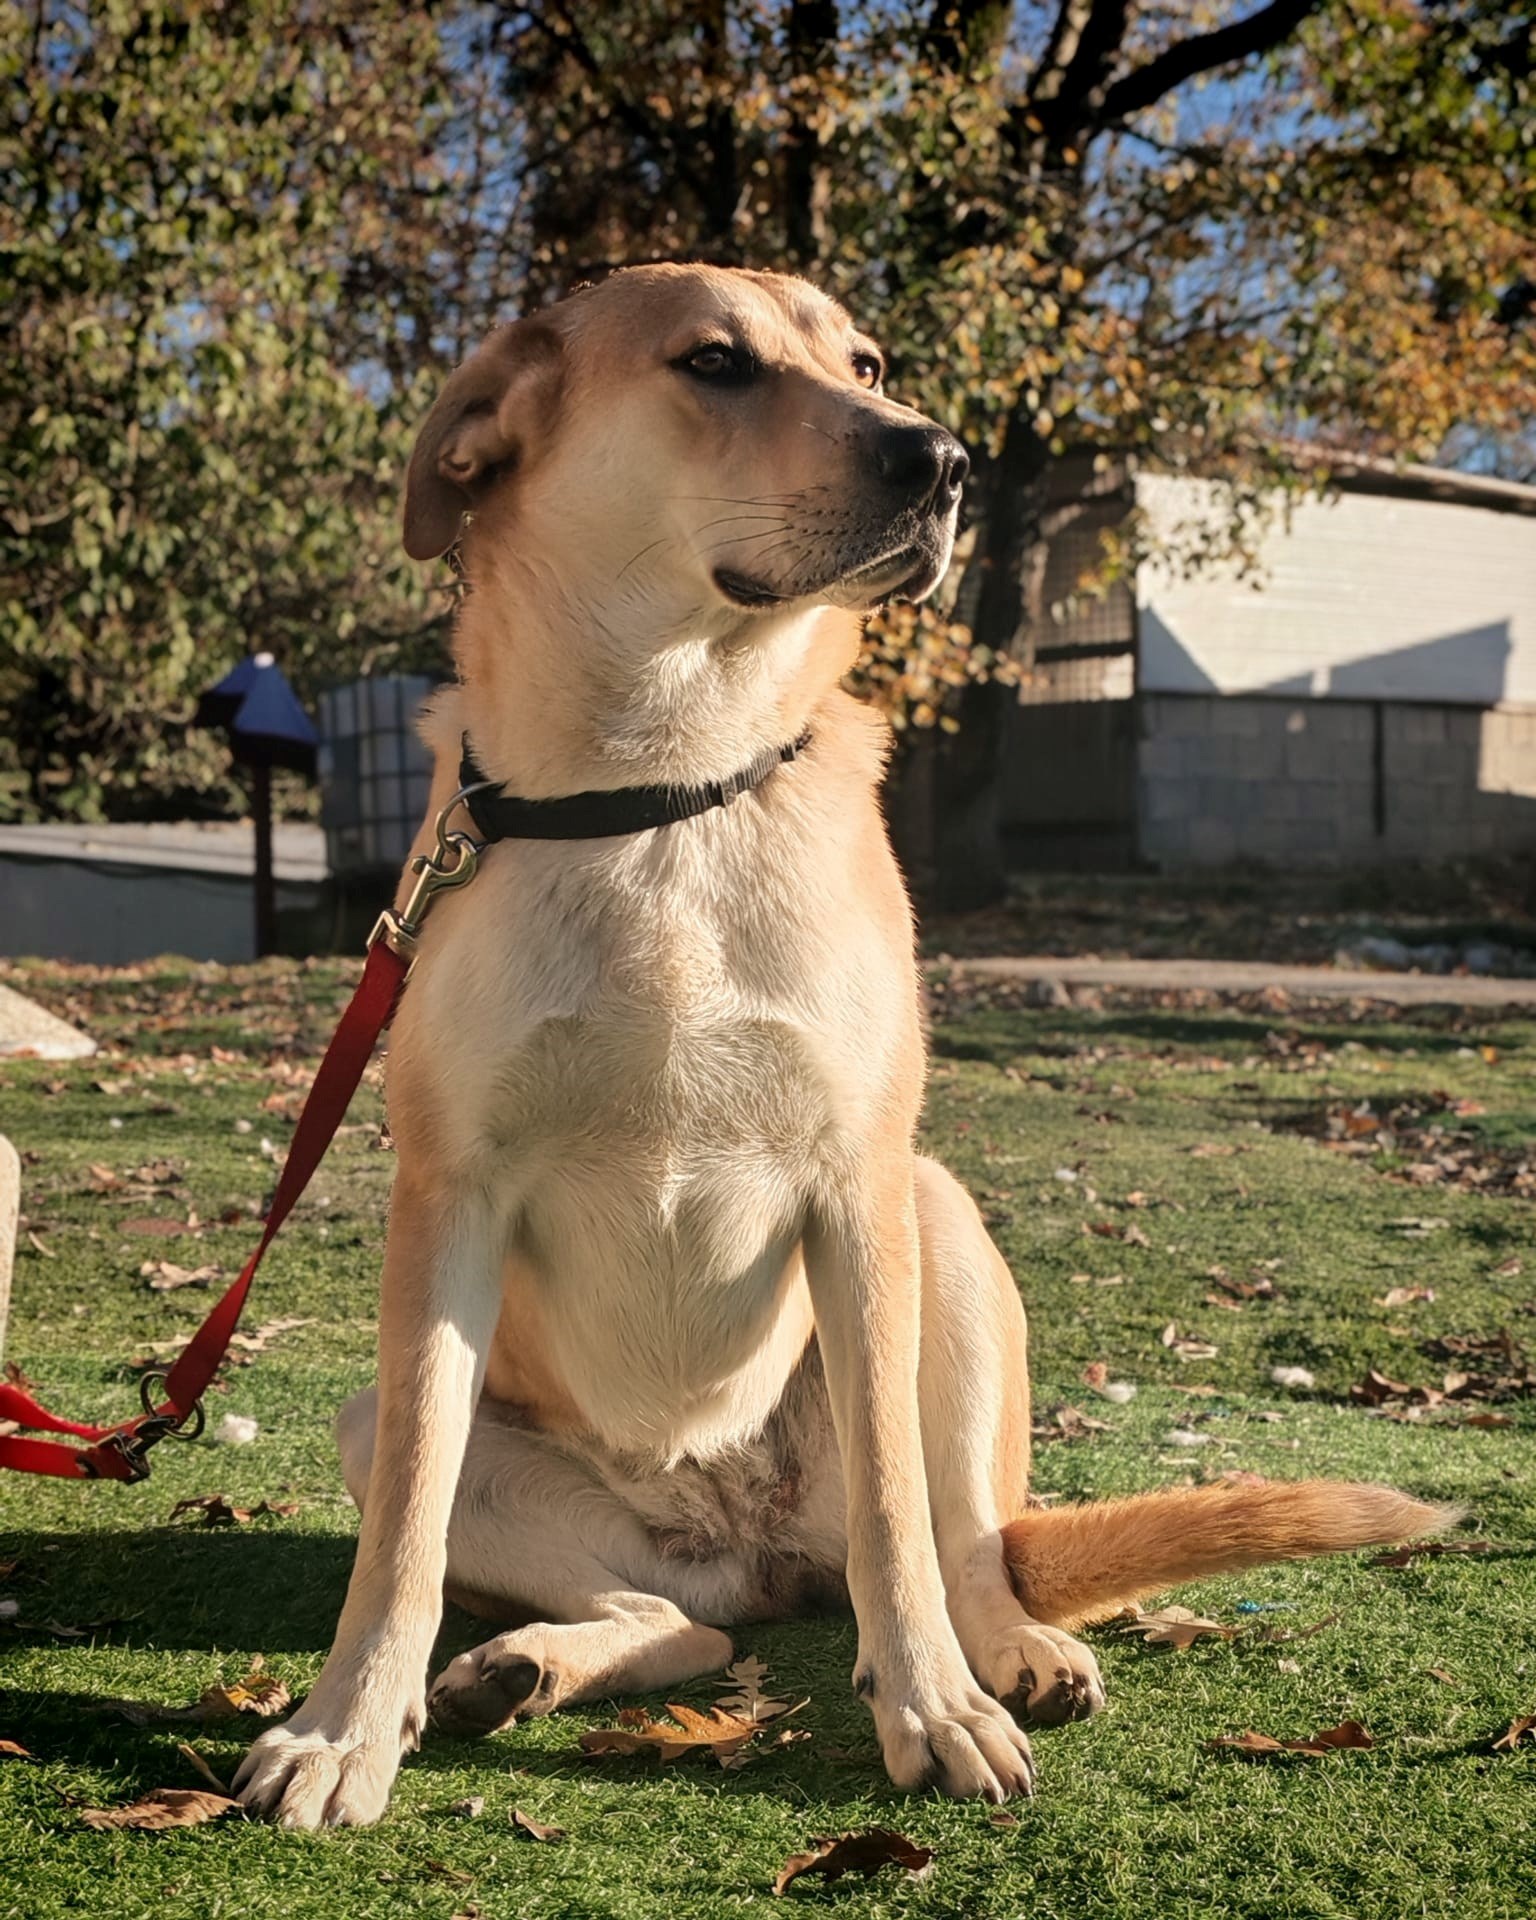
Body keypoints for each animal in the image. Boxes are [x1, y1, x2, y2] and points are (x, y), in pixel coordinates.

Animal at [233, 263, 1445, 1826]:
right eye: (714, 362)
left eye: (864, 360)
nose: (944, 460)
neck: (665, 787)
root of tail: (754, 1541)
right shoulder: (449, 1203)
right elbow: (404, 1538)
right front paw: (343, 1728)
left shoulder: (855, 1187)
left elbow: (894, 1512)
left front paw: (931, 1709)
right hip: (399, 1429)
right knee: (680, 1620)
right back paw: (531, 1667)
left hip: (941, 1226)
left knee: (960, 1543)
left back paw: (1009, 1652)